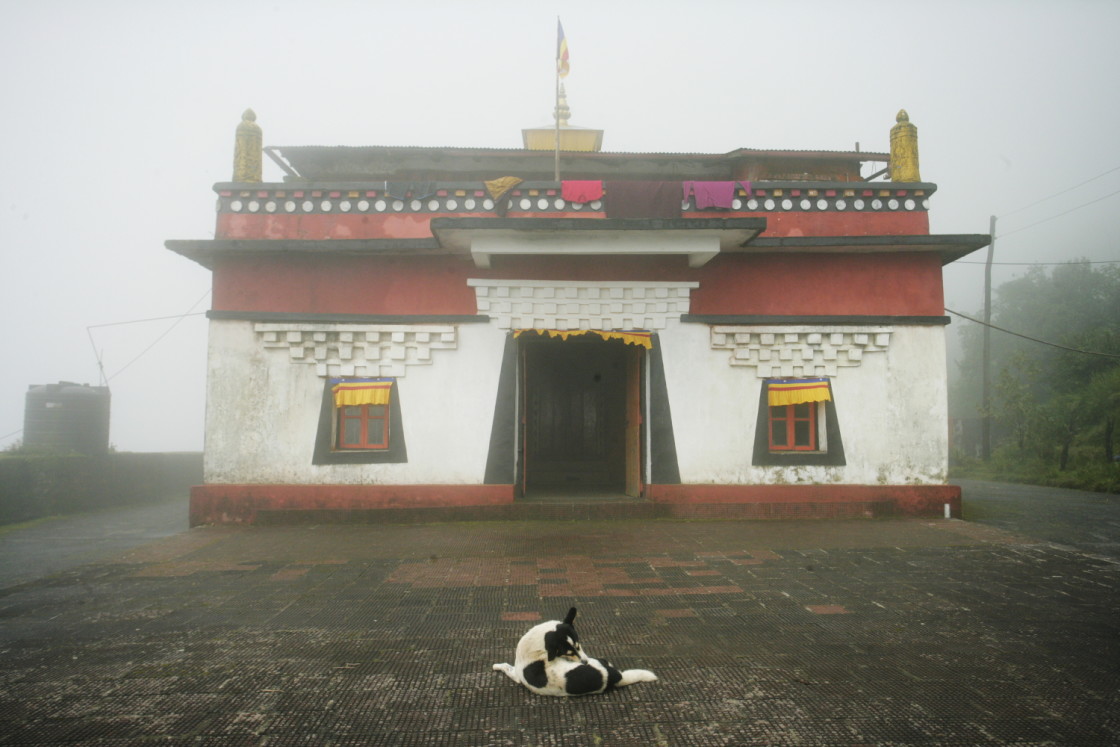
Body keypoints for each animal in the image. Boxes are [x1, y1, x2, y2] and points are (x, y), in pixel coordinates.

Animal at [492, 609, 654, 694]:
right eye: (567, 653)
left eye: (579, 645)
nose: (585, 662)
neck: (536, 647)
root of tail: (616, 677)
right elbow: (507, 666)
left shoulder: (518, 674)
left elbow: (506, 666)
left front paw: (497, 666)